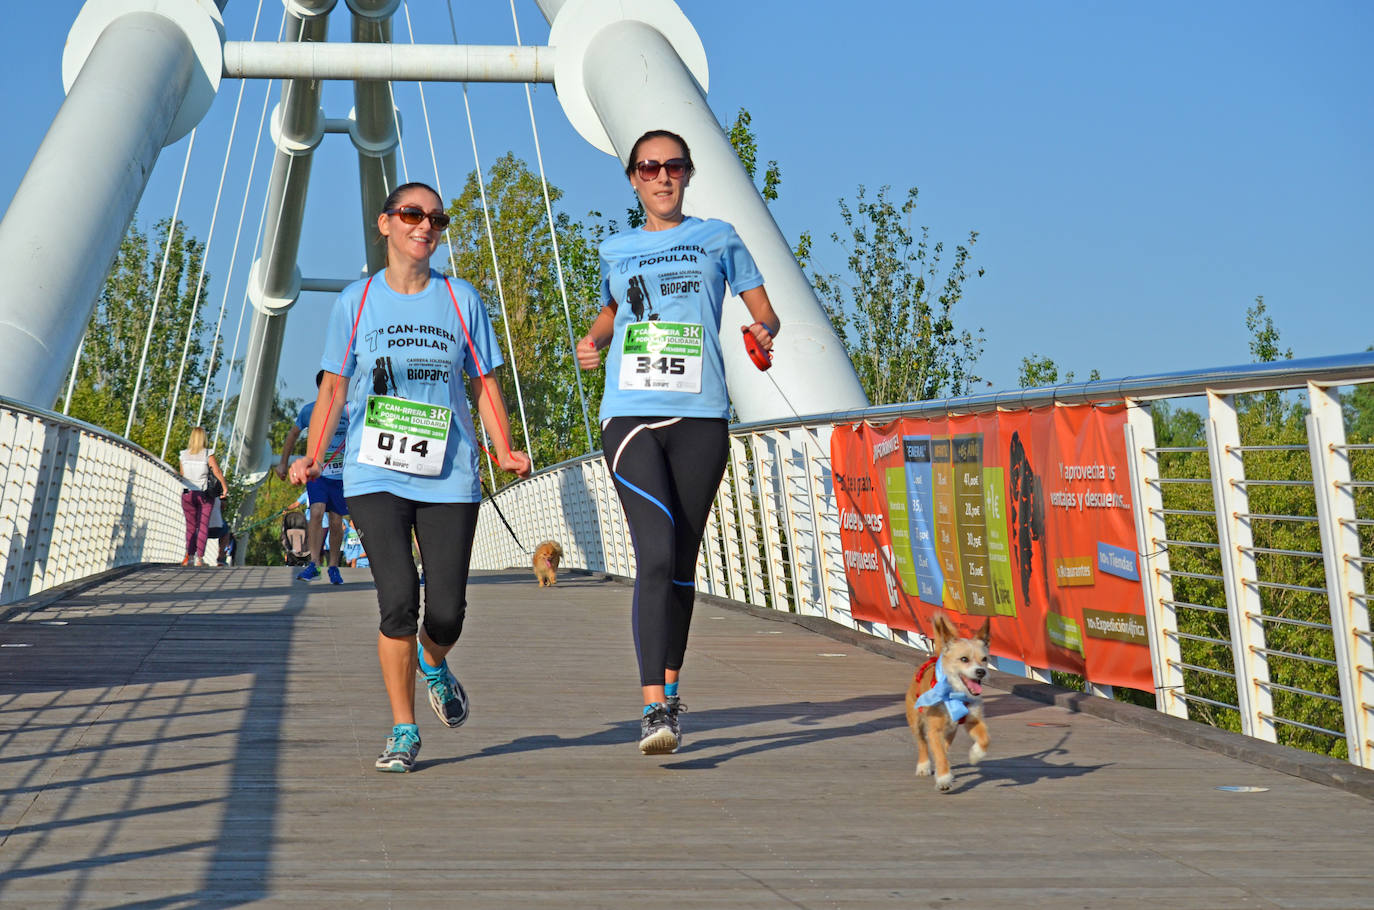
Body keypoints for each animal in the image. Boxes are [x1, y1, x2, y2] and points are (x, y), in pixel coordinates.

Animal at [901, 615, 989, 797]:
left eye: (984, 659)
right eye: (964, 659)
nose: (981, 672)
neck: (955, 694)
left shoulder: (973, 721)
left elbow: (985, 740)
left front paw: (975, 755)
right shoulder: (934, 730)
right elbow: (939, 754)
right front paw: (943, 780)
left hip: (951, 730)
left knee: (944, 746)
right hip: (916, 722)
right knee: (923, 744)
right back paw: (924, 766)